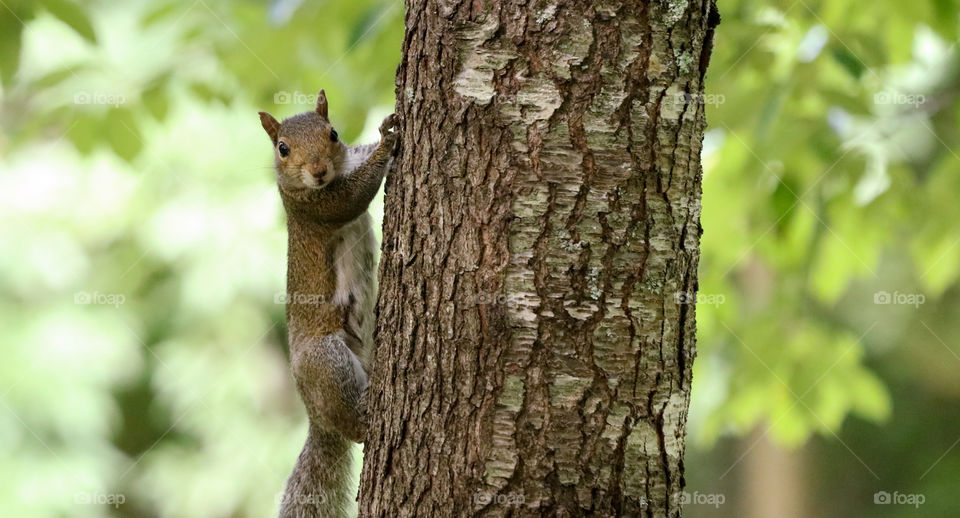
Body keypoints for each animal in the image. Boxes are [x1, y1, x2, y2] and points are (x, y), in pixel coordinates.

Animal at [258, 90, 398, 518]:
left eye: (333, 133)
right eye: (282, 148)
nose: (318, 170)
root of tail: (316, 417)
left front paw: (386, 126)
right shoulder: (316, 207)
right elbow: (353, 197)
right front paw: (387, 144)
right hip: (326, 362)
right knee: (353, 428)